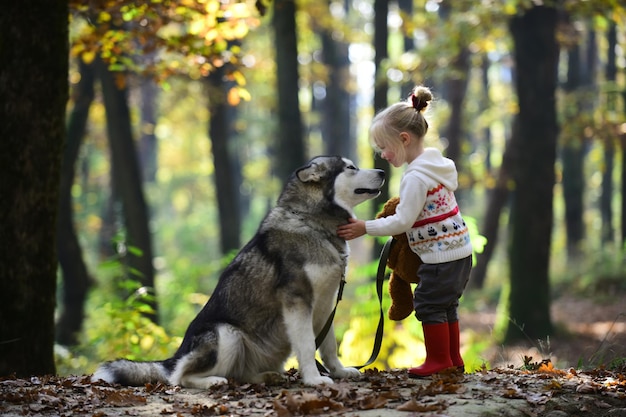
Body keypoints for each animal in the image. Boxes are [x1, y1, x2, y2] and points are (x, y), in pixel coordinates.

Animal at [91, 155, 386, 386]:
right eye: (351, 167)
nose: (383, 171)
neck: (313, 224)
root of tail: (176, 354)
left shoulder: (325, 303)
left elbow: (329, 345)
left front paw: (339, 371)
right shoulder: (298, 301)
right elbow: (306, 346)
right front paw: (314, 380)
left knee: (239, 374)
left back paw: (265, 376)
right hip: (227, 335)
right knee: (180, 377)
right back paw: (212, 381)